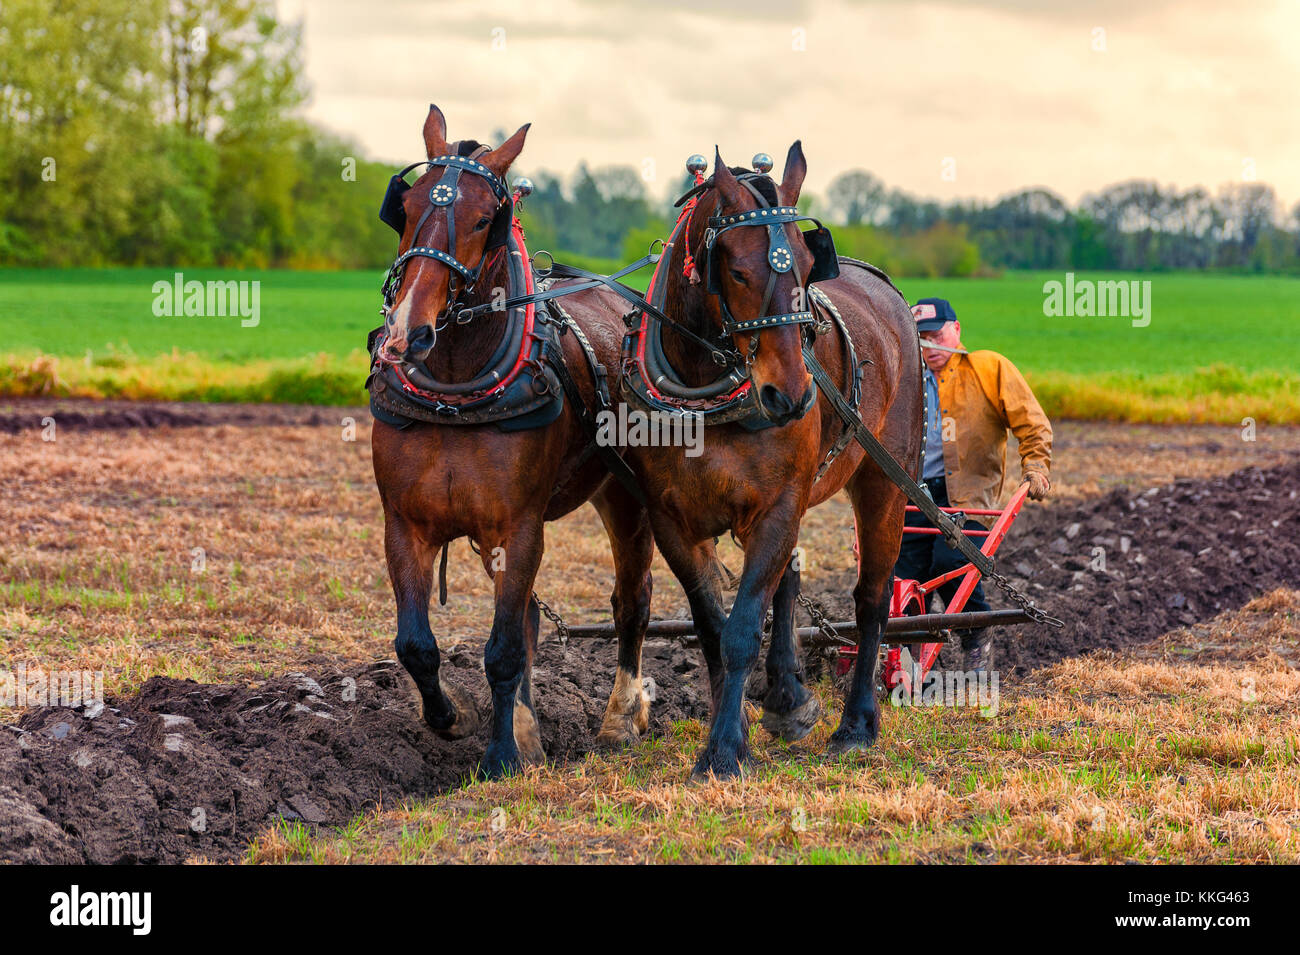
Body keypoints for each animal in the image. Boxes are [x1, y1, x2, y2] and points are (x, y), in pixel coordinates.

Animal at [374, 106, 660, 779]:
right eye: (407, 206)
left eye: (485, 219)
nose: (408, 332)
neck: (454, 391)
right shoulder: (405, 525)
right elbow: (416, 645)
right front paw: (455, 718)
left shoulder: (519, 526)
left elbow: (503, 648)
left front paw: (501, 755)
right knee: (530, 611)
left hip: (625, 498)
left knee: (631, 601)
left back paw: (620, 716)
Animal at [621, 145, 920, 779]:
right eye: (736, 270)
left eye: (806, 266)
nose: (792, 396)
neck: (705, 391)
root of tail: (885, 288)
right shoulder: (671, 520)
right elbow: (714, 630)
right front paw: (731, 729)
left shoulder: (779, 505)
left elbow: (741, 631)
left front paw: (724, 752)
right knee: (790, 579)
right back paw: (788, 697)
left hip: (884, 480)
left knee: (873, 597)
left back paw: (857, 724)